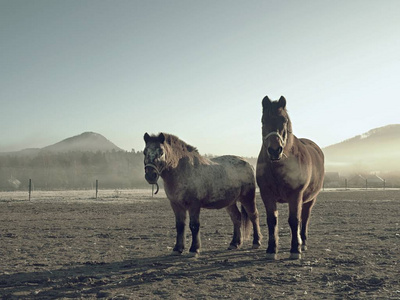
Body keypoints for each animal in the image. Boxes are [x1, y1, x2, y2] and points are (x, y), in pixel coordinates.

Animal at [256, 96, 324, 260]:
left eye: (284, 120)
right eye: (263, 120)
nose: (275, 150)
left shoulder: (296, 195)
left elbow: (294, 220)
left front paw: (295, 249)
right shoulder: (266, 194)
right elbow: (272, 221)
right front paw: (271, 249)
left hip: (310, 199)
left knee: (304, 218)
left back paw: (302, 242)